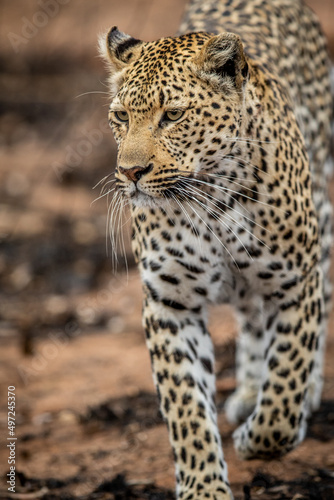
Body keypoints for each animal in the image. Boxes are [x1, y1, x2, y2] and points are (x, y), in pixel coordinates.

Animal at [98, 1, 332, 498]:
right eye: (121, 117)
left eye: (172, 115)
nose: (130, 173)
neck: (212, 200)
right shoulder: (170, 303)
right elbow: (186, 408)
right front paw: (204, 486)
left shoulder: (297, 281)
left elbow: (287, 381)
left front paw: (259, 438)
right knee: (252, 319)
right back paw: (248, 389)